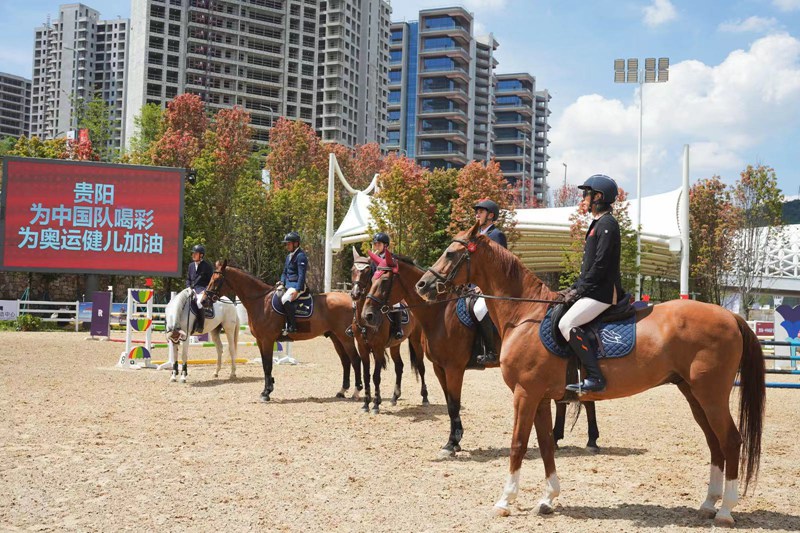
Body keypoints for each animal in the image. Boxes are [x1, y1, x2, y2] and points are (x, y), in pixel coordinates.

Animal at [202, 260, 364, 402]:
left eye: (216, 280)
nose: (204, 301)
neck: (261, 301)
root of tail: (351, 300)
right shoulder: (260, 341)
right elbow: (265, 365)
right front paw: (267, 390)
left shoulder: (267, 340)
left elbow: (268, 365)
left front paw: (266, 393)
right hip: (335, 337)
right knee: (345, 361)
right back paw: (342, 391)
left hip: (345, 337)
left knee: (355, 360)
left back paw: (356, 392)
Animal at [348, 247, 428, 414]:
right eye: (352, 270)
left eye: (367, 271)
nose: (355, 294)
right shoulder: (363, 348)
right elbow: (366, 375)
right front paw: (366, 404)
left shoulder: (378, 348)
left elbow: (376, 376)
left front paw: (375, 405)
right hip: (394, 345)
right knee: (399, 366)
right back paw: (394, 397)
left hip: (416, 341)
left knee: (421, 366)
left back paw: (425, 397)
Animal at [416, 223, 764, 524]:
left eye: (451, 253)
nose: (423, 286)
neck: (525, 314)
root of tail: (731, 316)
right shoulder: (540, 398)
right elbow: (545, 445)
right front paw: (548, 498)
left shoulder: (525, 394)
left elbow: (518, 444)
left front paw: (505, 501)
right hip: (694, 394)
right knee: (714, 442)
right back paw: (708, 504)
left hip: (711, 395)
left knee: (731, 441)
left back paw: (725, 510)